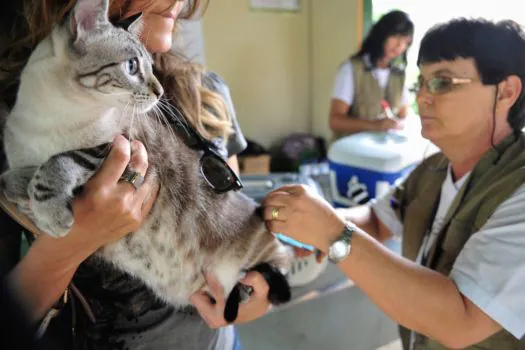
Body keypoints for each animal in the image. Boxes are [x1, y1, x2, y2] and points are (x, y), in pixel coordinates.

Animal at [1, 0, 290, 318]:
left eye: (151, 67)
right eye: (132, 66)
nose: (160, 91)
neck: (53, 118)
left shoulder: (120, 146)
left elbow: (61, 160)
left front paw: (51, 211)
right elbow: (12, 179)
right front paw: (26, 189)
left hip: (260, 257)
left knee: (280, 270)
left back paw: (248, 288)